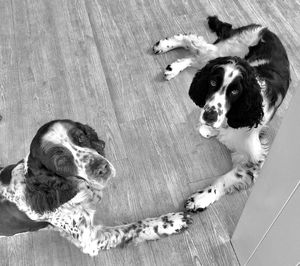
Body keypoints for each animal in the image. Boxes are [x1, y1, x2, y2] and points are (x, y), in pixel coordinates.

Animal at [0, 119, 192, 256]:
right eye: (60, 161)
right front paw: (170, 222)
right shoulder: (90, 239)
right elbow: (132, 227)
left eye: (81, 137)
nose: (101, 168)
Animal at [154, 16, 290, 212]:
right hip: (224, 51)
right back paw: (165, 45)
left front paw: (200, 198)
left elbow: (225, 179)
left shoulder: (255, 159)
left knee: (196, 55)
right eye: (212, 83)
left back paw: (174, 66)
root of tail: (264, 28)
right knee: (194, 42)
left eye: (235, 92)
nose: (209, 116)